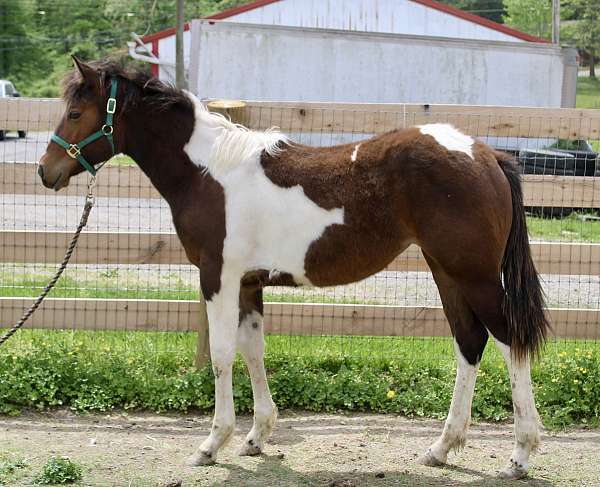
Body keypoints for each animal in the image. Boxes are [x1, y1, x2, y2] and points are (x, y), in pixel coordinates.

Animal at [38, 59, 548, 482]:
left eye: (76, 114)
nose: (46, 171)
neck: (208, 172)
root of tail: (487, 155)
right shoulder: (248, 284)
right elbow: (253, 351)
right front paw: (256, 437)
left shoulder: (218, 278)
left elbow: (222, 354)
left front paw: (212, 444)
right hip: (446, 271)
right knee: (470, 342)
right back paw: (441, 449)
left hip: (476, 277)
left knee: (509, 341)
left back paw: (520, 455)